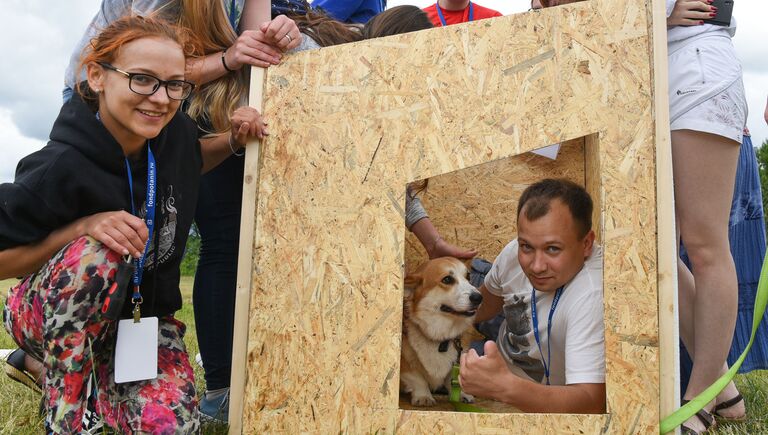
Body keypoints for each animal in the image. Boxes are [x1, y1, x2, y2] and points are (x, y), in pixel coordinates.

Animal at [400, 258, 484, 408]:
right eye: (447, 279)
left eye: (468, 276)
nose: (479, 297)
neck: (441, 337)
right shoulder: (405, 361)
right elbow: (417, 379)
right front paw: (423, 396)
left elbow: (453, 378)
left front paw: (462, 395)